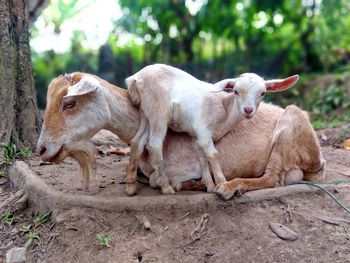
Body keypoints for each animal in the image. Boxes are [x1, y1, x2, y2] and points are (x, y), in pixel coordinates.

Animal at [36, 72, 326, 200]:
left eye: (69, 103)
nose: (41, 149)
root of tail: (319, 162)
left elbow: (163, 174)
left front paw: (193, 183)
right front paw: (131, 181)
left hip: (288, 128)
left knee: (273, 178)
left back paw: (228, 187)